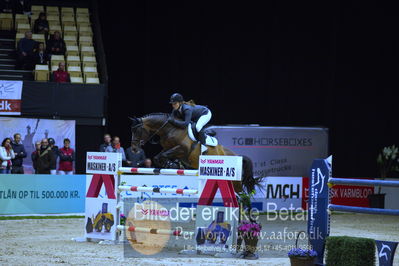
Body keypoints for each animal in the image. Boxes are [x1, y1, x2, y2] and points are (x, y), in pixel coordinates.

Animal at [130, 112, 260, 193]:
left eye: (137, 131)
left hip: (234, 181)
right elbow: (158, 157)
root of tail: (237, 156)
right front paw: (172, 164)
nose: (134, 149)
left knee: (241, 195)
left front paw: (172, 164)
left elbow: (164, 155)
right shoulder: (167, 148)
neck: (170, 129)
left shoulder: (182, 150)